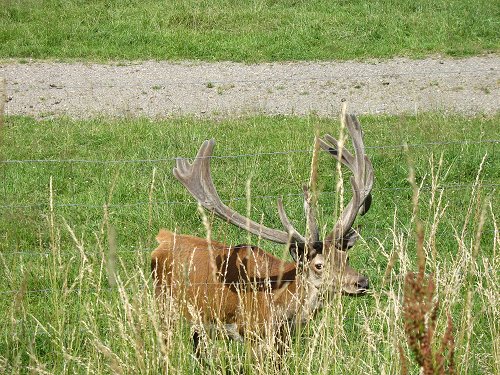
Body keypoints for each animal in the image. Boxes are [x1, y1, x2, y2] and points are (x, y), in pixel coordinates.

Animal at [150, 111, 374, 358]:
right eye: (319, 265)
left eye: (346, 257)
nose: (362, 282)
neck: (283, 305)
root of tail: (162, 239)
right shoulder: (254, 334)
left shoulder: (283, 339)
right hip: (164, 305)